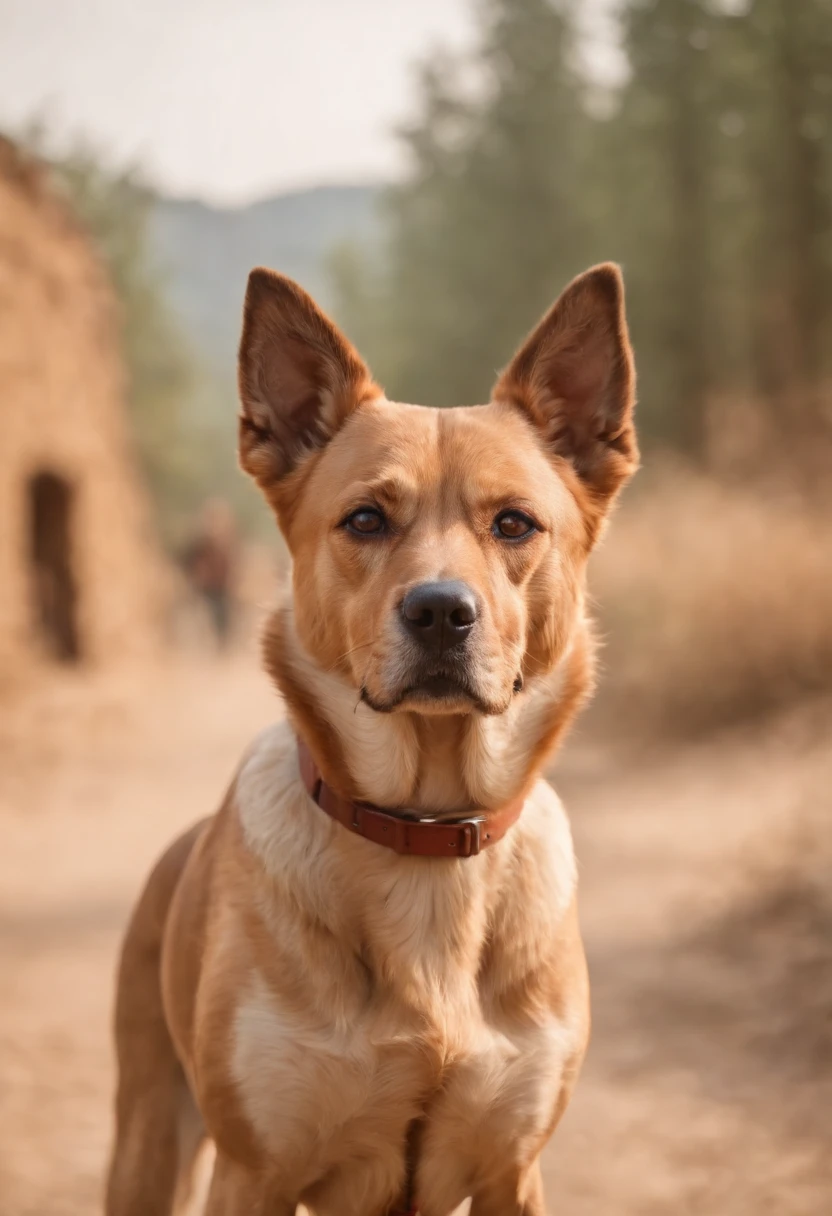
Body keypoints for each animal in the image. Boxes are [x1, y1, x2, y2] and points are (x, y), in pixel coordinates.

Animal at [104, 261, 637, 1211]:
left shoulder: (514, 1168)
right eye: (365, 520)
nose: (440, 611)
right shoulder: (254, 1171)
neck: (425, 836)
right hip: (147, 1137)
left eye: (514, 523)